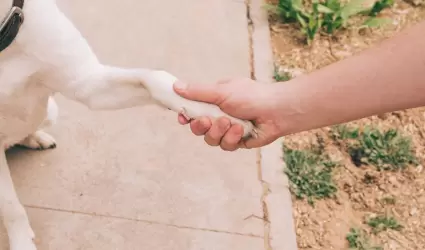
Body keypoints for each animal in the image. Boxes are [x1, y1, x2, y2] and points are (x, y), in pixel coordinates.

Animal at [0, 0, 255, 249]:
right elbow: (11, 206)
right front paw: (22, 243)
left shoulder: (87, 84)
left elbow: (154, 78)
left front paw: (219, 114)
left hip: (51, 110)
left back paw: (34, 137)